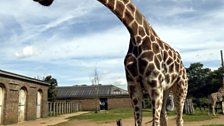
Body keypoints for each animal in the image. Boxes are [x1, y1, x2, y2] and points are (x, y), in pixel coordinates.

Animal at [32, 0, 187, 125]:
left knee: (179, 119)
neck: (137, 36)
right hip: (166, 89)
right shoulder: (133, 86)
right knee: (165, 117)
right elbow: (139, 122)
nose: (41, 1)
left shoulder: (154, 86)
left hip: (180, 88)